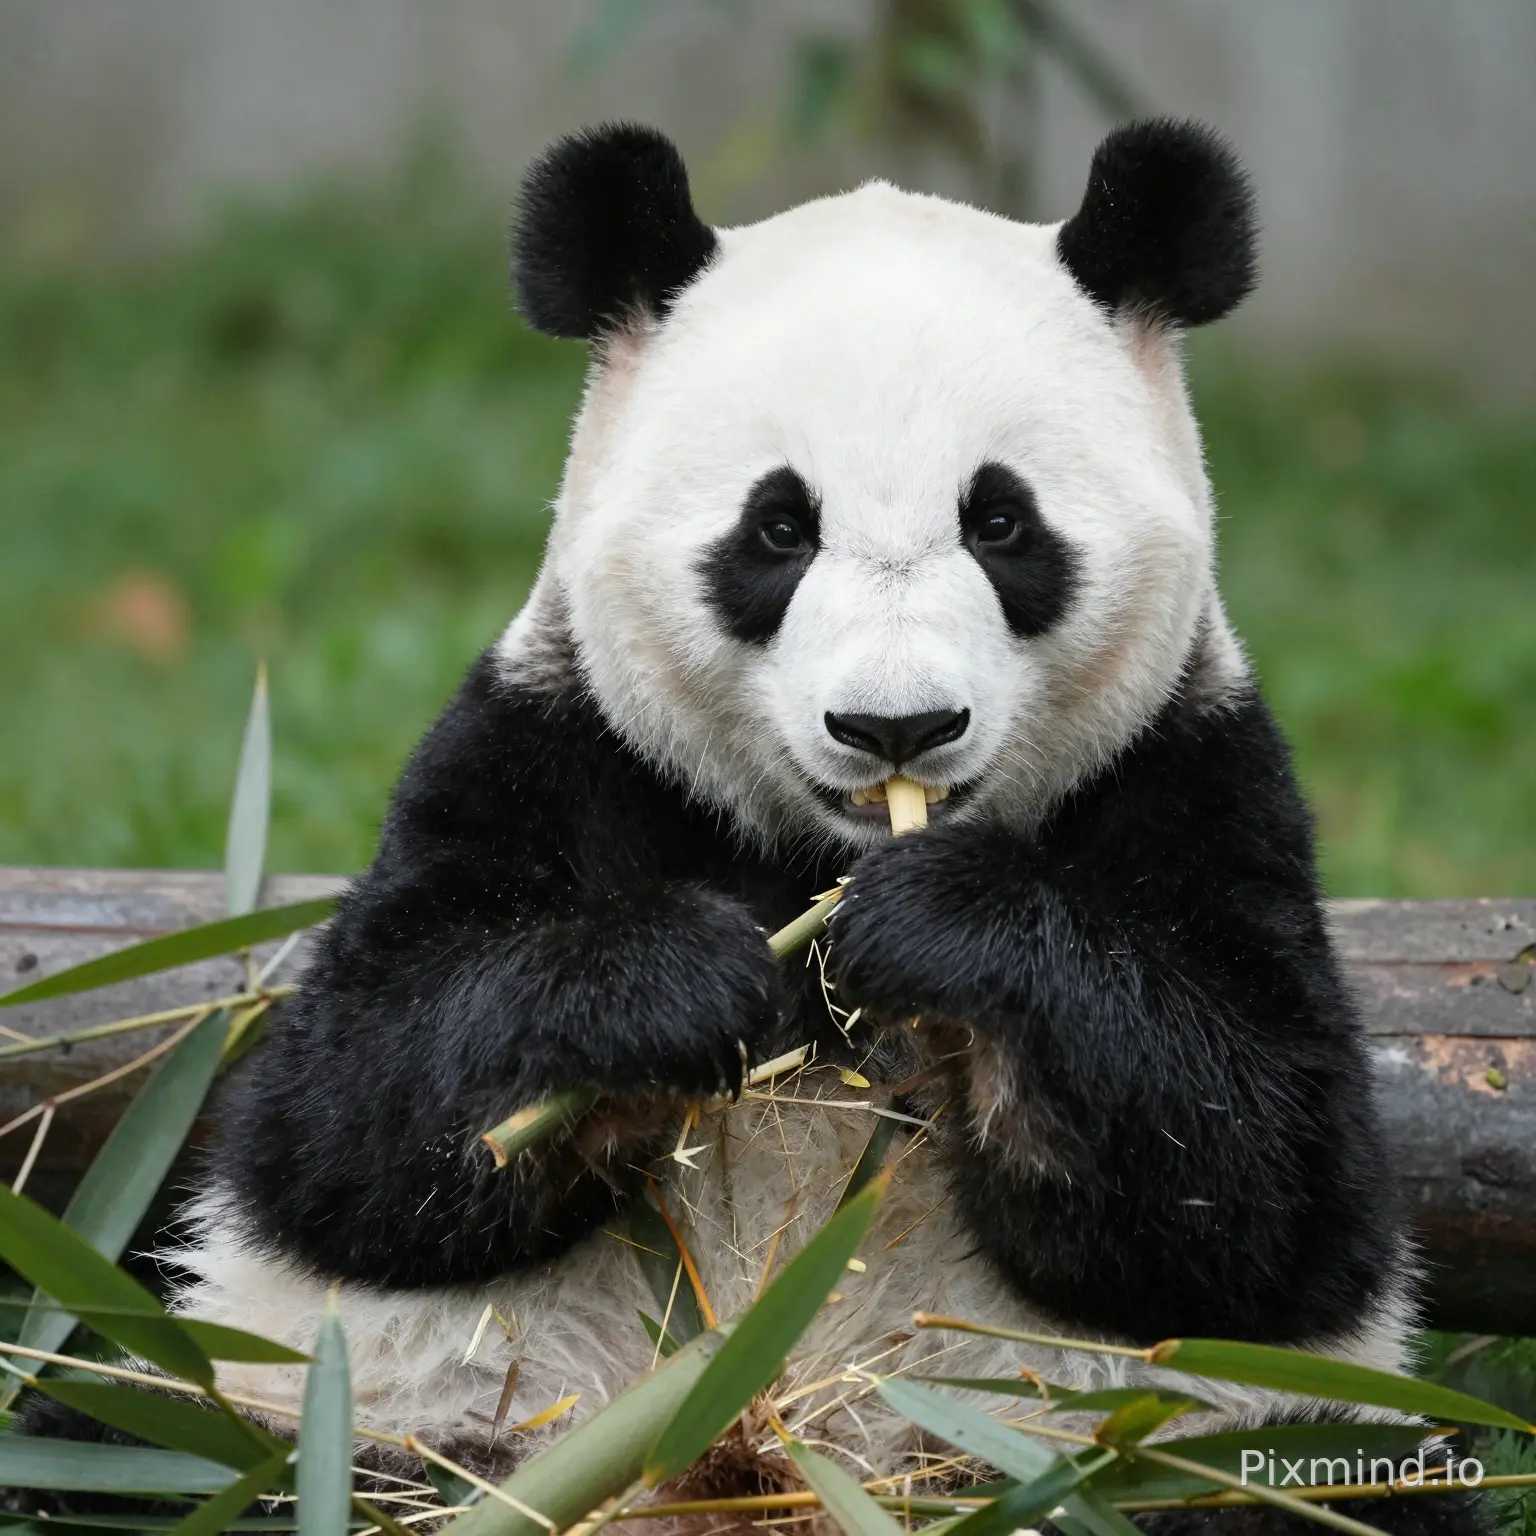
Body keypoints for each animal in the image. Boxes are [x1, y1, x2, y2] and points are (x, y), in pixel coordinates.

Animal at [17, 121, 1483, 1534]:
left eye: (1002, 521)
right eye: (778, 529)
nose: (895, 727)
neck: (815, 851)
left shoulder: (1196, 774)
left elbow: (1265, 1184)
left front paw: (945, 932)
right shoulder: (555, 746)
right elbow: (353, 1117)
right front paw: (673, 986)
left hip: (1162, 1457)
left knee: (1331, 1490)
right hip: (342, 1418)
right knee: (124, 1447)